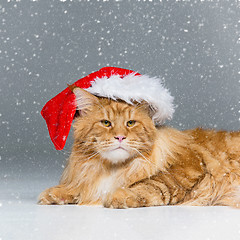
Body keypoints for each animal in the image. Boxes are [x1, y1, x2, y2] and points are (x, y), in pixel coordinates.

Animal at [38, 88, 240, 208]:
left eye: (130, 123)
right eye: (106, 123)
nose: (120, 137)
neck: (112, 168)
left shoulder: (187, 169)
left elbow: (151, 184)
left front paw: (118, 196)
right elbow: (81, 186)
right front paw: (58, 192)